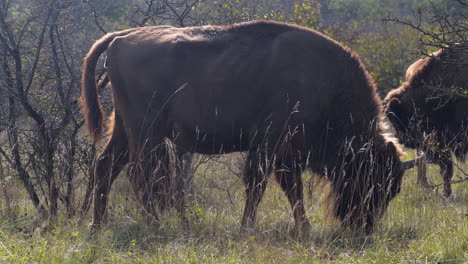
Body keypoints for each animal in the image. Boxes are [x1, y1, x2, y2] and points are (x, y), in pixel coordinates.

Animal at [81, 20, 420, 231]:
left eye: (393, 189)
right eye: (374, 180)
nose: (364, 225)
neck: (324, 85)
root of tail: (121, 37)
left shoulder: (273, 150)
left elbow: (273, 187)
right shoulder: (274, 146)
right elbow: (272, 186)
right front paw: (281, 228)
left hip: (125, 130)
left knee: (105, 166)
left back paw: (97, 225)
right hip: (147, 131)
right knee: (140, 175)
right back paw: (153, 224)